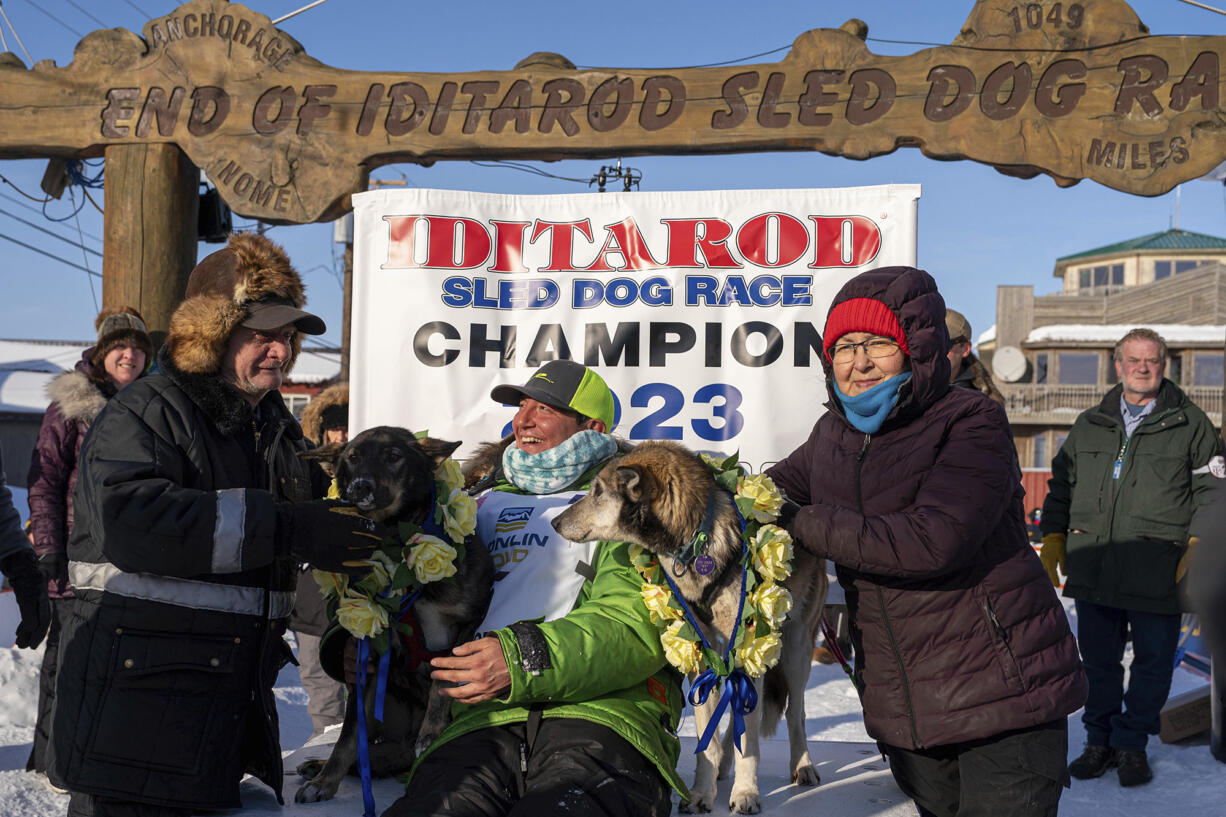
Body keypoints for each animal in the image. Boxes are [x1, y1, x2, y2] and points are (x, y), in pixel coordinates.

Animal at [554, 441, 823, 809]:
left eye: (597, 491)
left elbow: (750, 741)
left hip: (795, 650)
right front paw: (700, 793)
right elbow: (708, 739)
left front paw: (746, 794)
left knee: (796, 714)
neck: (696, 540)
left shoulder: (749, 647)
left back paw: (803, 766)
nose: (554, 521)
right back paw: (724, 766)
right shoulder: (702, 654)